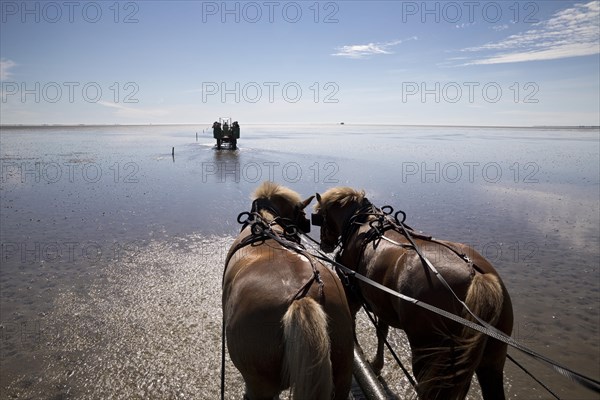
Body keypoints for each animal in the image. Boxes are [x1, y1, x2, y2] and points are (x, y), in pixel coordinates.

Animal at [312, 188, 512, 400]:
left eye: (319, 217)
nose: (325, 244)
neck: (361, 222)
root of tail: (476, 276)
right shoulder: (381, 303)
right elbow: (382, 332)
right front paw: (377, 364)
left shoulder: (352, 292)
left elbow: (353, 322)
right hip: (492, 360)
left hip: (427, 351)